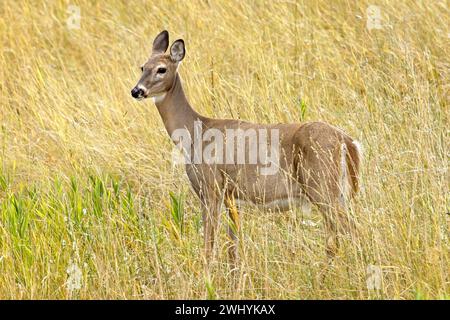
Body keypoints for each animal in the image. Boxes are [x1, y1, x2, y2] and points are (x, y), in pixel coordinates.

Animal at [130, 30, 362, 266]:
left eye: (161, 69)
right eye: (142, 67)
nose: (136, 91)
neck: (196, 132)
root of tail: (348, 142)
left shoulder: (211, 187)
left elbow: (208, 247)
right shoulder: (232, 197)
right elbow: (232, 250)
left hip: (322, 186)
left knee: (352, 231)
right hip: (337, 192)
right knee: (335, 238)